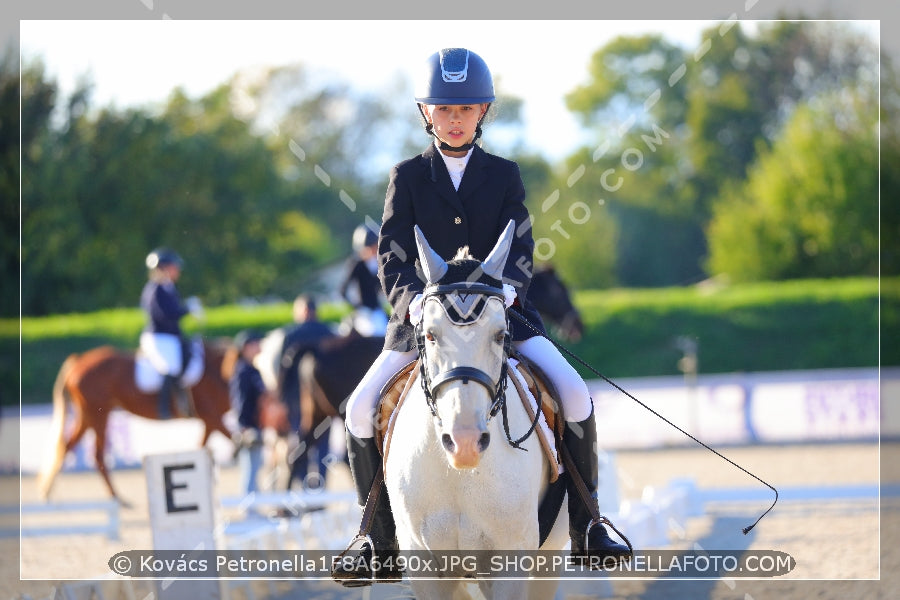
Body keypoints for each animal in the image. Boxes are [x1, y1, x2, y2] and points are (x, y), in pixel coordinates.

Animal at [38, 340, 236, 504]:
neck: (217, 371)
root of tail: (78, 361)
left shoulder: (210, 421)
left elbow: (202, 446)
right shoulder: (211, 417)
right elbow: (234, 440)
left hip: (88, 416)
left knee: (67, 447)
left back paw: (47, 491)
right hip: (99, 415)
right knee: (97, 454)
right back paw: (116, 498)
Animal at [382, 224, 568, 600]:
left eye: (500, 335)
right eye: (430, 335)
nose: (464, 444)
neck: (459, 475)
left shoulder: (511, 562)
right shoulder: (424, 566)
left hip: (549, 559)